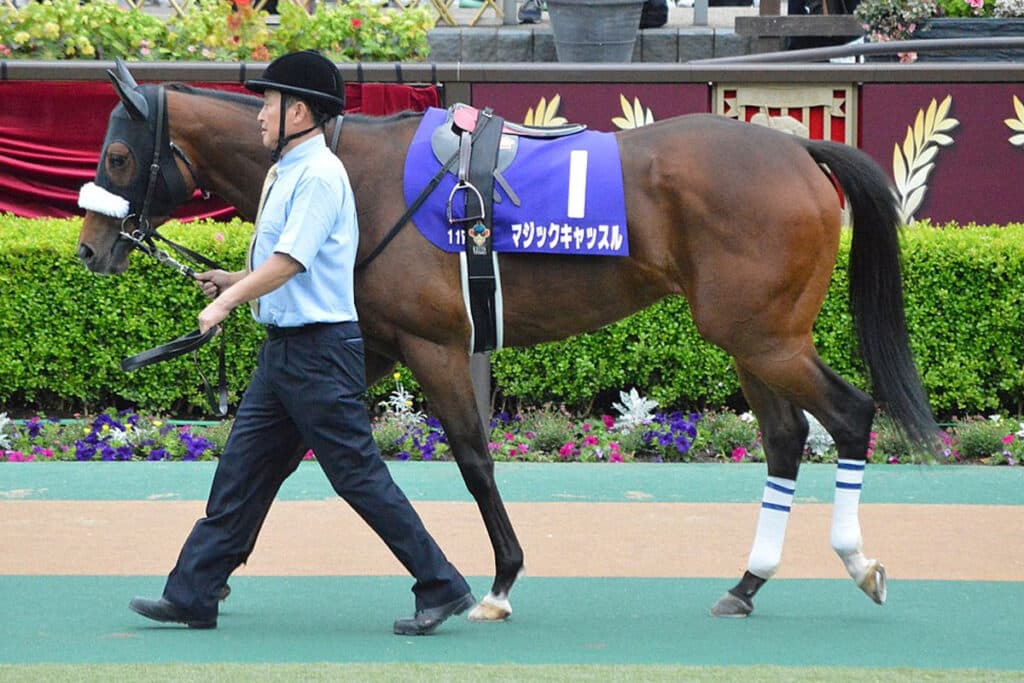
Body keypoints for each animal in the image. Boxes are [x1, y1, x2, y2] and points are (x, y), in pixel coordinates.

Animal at [77, 61, 939, 621]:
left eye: (116, 154)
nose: (89, 248)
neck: (348, 167)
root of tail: (797, 147)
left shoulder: (433, 342)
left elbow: (472, 457)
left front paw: (492, 584)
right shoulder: (375, 342)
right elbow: (272, 451)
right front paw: (200, 583)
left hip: (763, 335)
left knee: (851, 413)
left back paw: (858, 562)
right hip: (751, 336)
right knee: (787, 437)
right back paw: (747, 582)